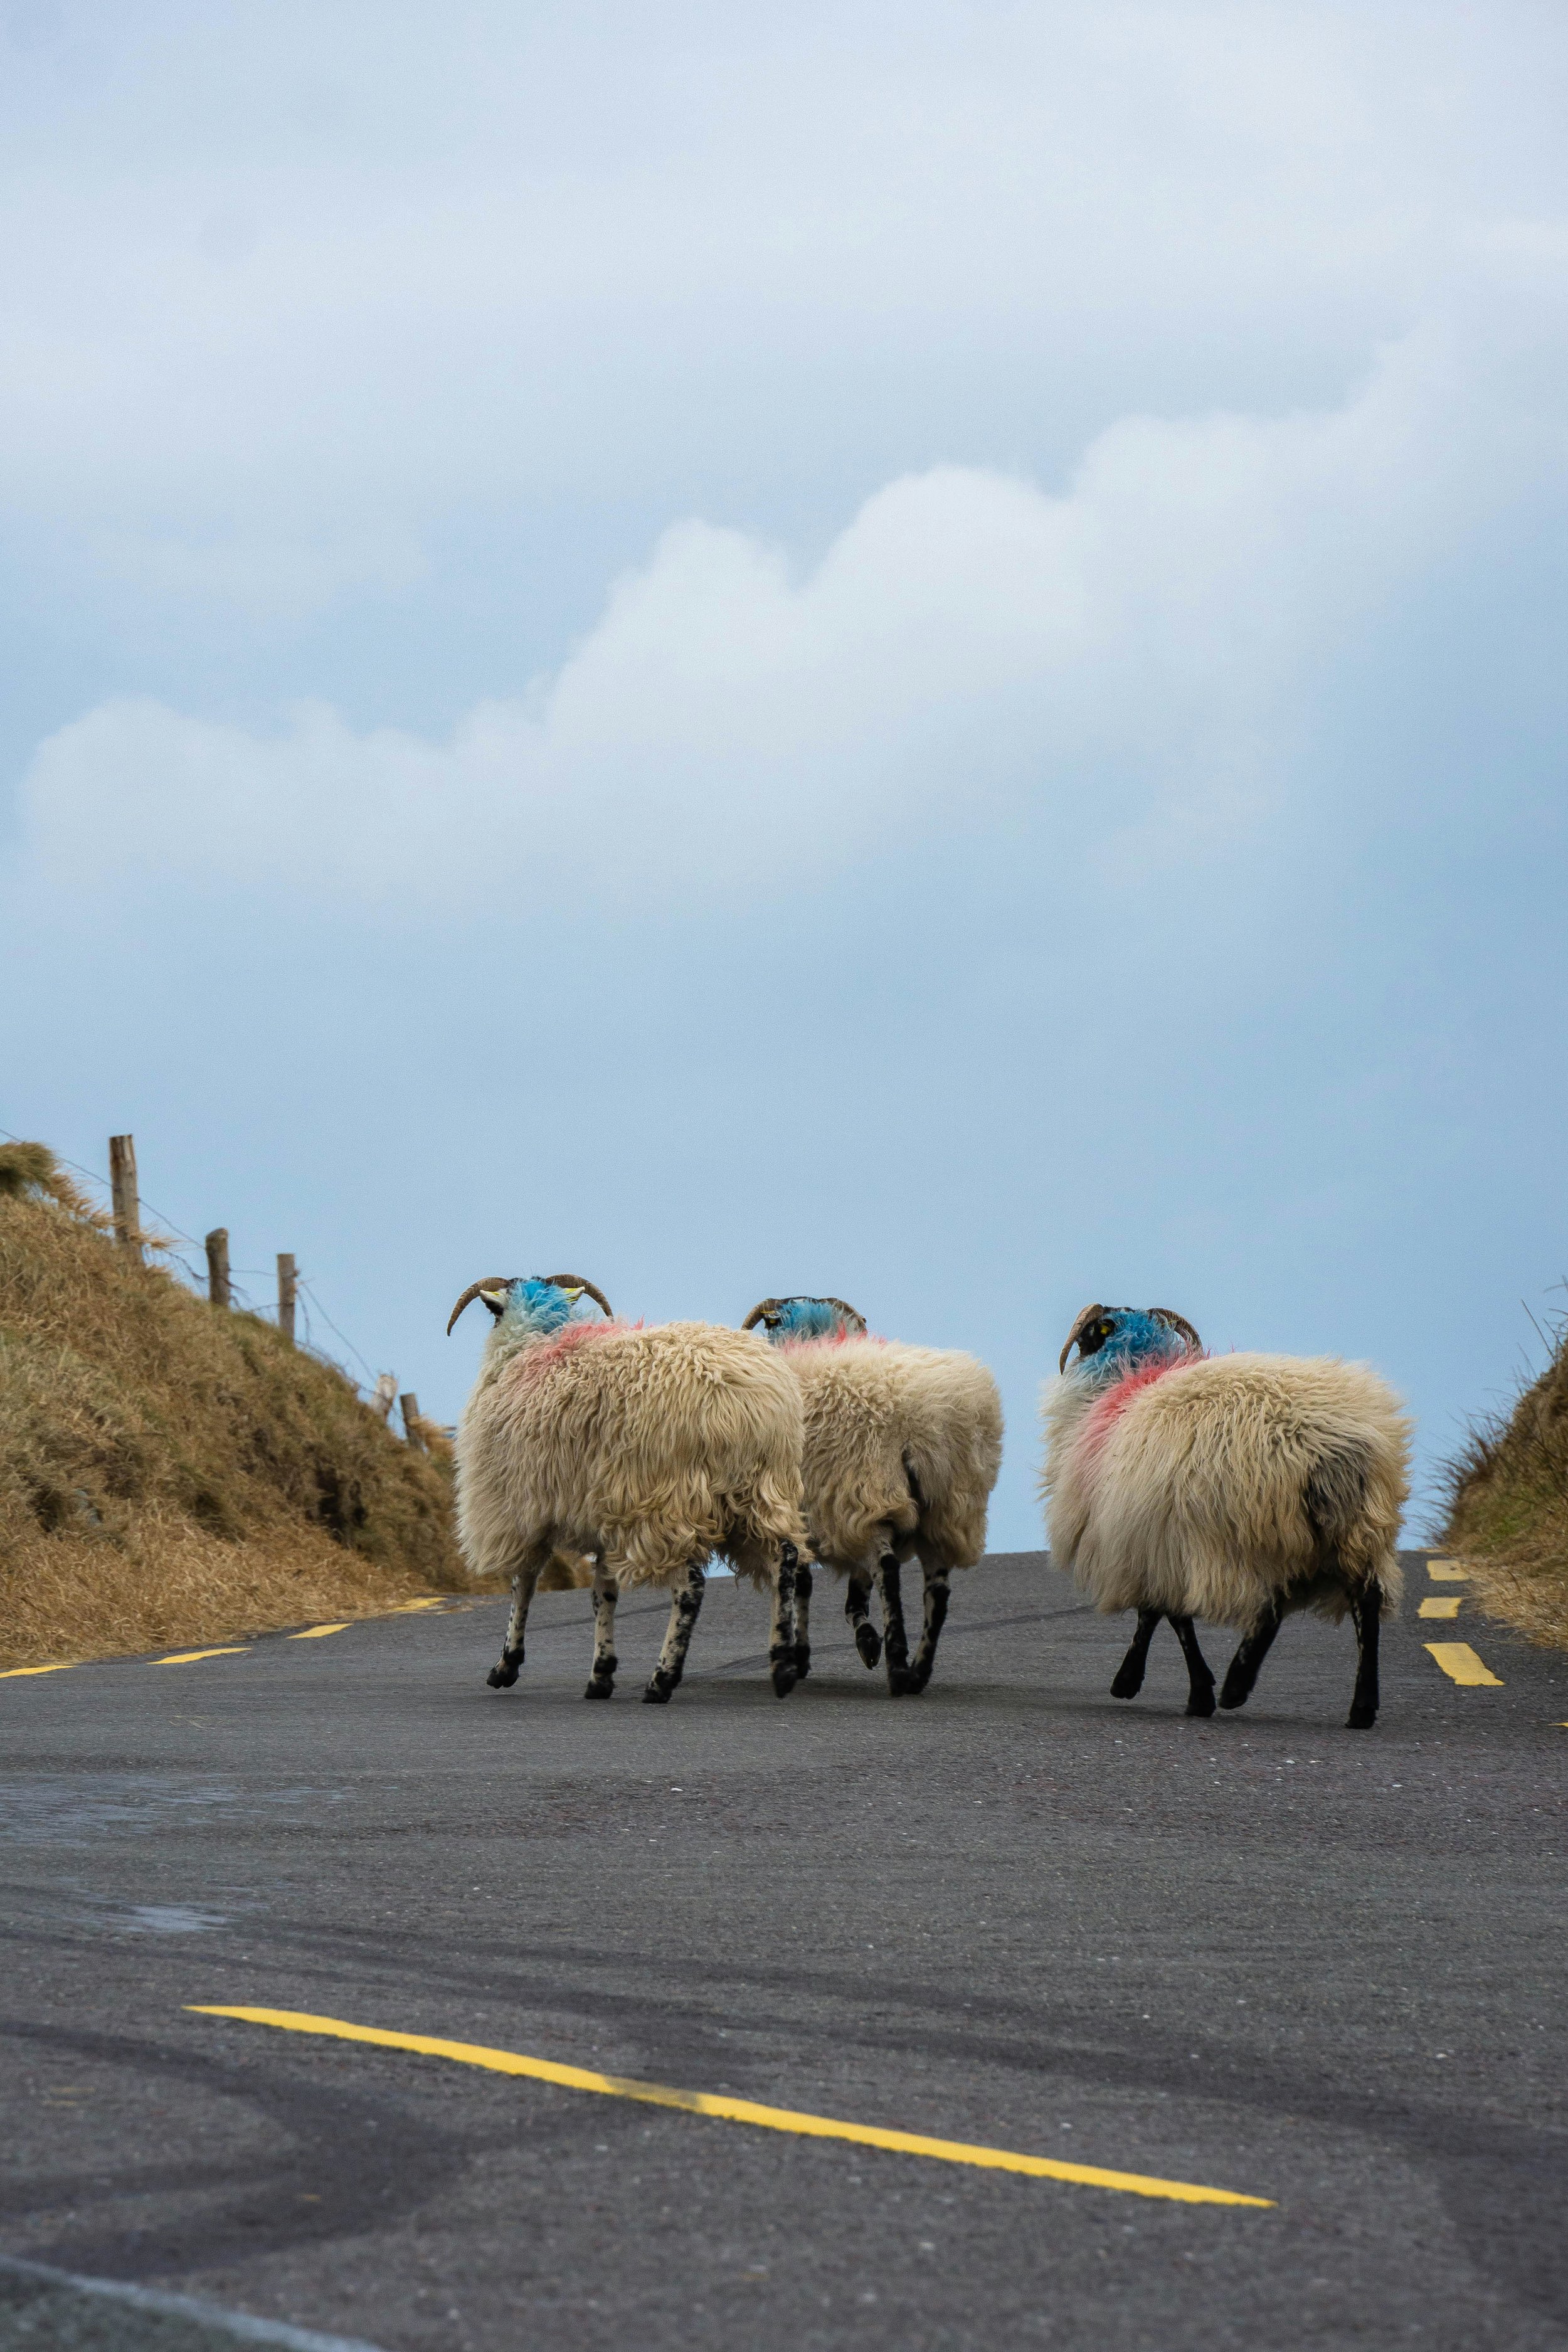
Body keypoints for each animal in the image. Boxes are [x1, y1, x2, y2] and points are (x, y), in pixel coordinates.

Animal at [448, 1274, 810, 1704]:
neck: (535, 1343)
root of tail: (740, 1404)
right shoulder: (601, 1511)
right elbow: (603, 1592)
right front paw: (600, 1675)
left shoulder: (519, 1509)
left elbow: (524, 1586)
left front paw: (506, 1666)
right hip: (760, 1493)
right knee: (785, 1561)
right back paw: (783, 1665)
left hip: (665, 1504)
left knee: (691, 1585)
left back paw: (662, 1680)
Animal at [742, 1296, 1004, 1696]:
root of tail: (923, 1422)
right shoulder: (842, 1519)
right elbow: (855, 1592)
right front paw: (865, 1640)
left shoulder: (815, 1514)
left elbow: (805, 1583)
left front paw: (802, 1656)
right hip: (946, 1510)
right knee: (937, 1591)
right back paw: (917, 1672)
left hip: (871, 1492)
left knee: (889, 1570)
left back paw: (897, 1666)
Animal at [1040, 1305, 1412, 1729]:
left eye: (1091, 1332)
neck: (1125, 1385)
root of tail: (1327, 1445)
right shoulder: (1157, 1541)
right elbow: (1163, 1614)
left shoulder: (1155, 1539)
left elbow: (1164, 1616)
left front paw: (1151, 1685)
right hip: (1351, 1527)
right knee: (1363, 1600)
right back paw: (1360, 1707)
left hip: (1257, 1528)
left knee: (1272, 1605)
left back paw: (1237, 1686)